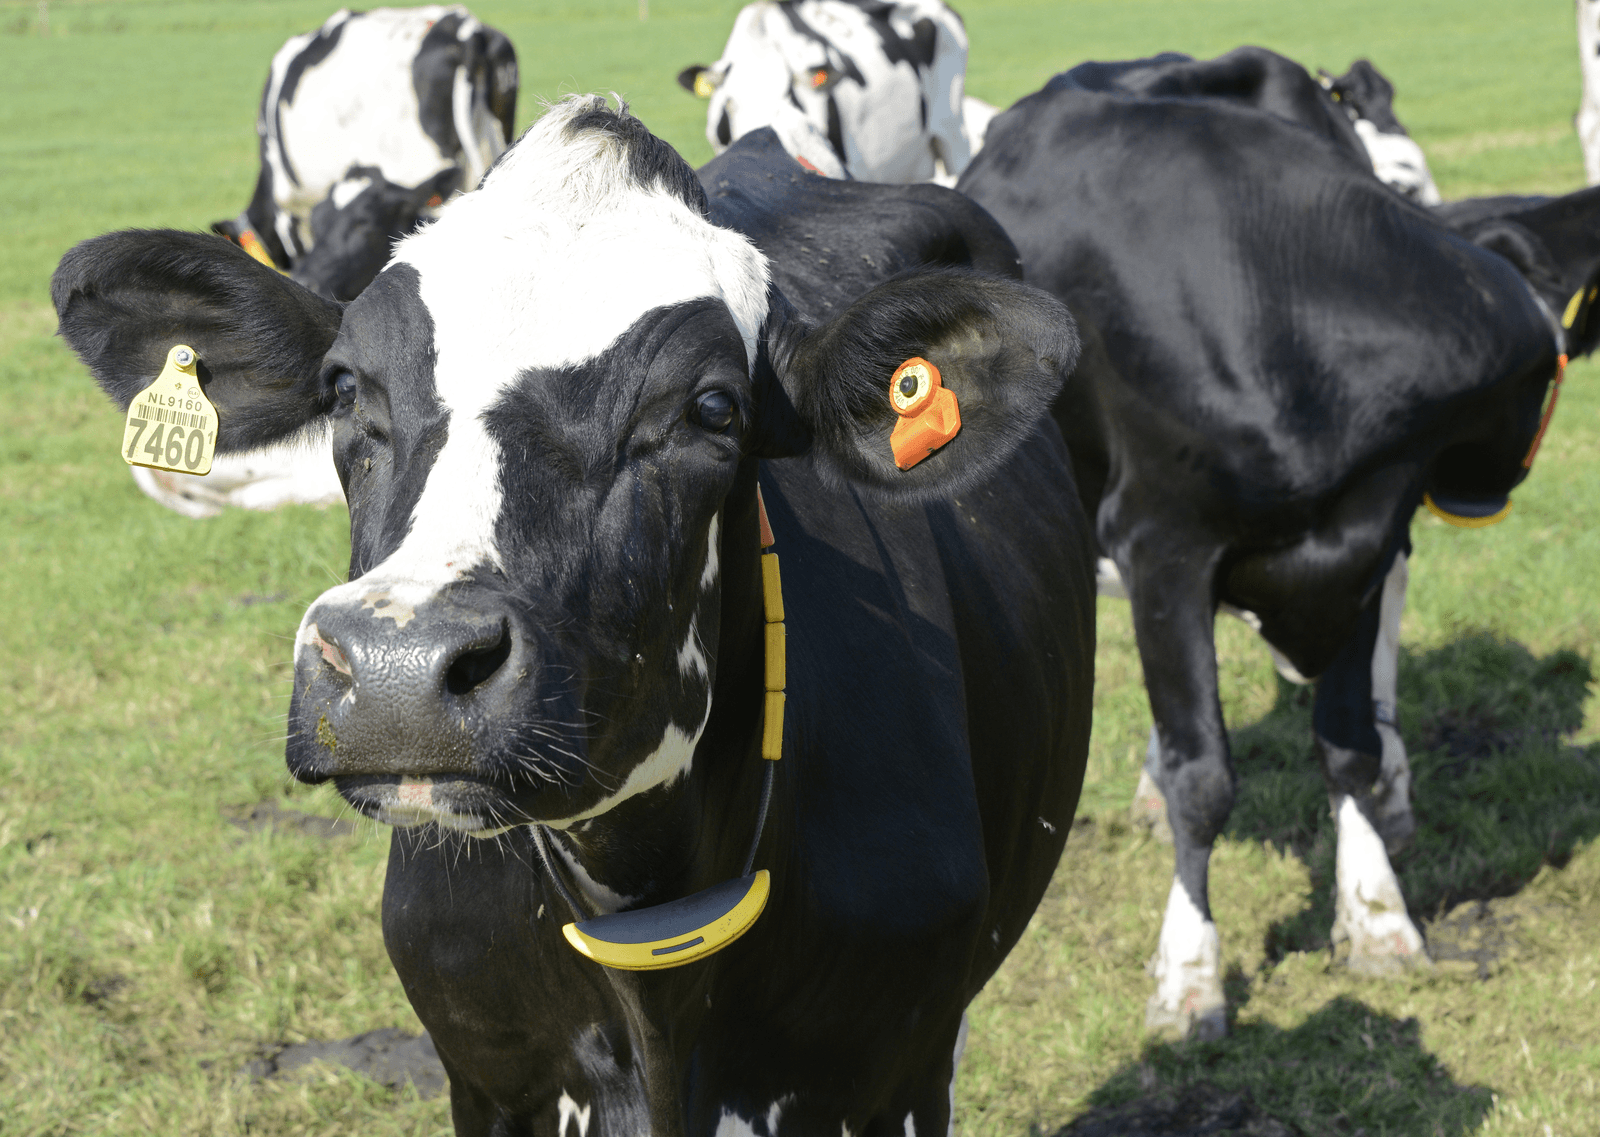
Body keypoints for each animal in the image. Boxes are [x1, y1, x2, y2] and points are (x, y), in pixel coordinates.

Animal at [958, 61, 1582, 1040]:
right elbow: (1205, 778)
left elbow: (1347, 743)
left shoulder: (1368, 539)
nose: (1492, 487)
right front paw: (1190, 974)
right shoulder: (1162, 543)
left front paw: (1378, 916)